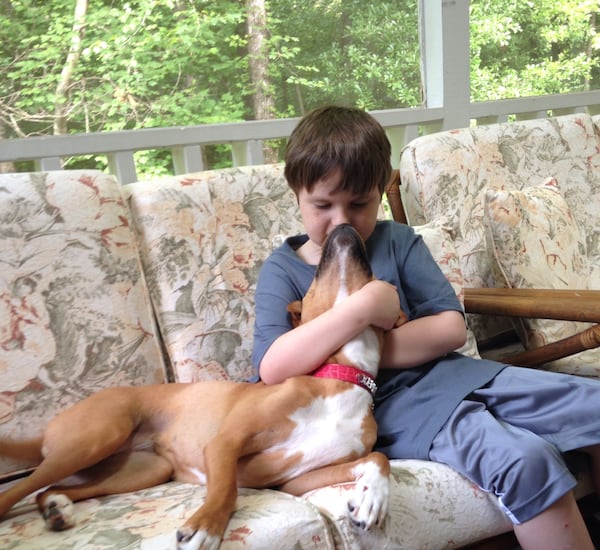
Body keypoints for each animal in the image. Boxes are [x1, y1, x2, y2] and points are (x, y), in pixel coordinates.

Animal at [0, 224, 406, 550]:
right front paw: (206, 528)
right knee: (19, 490)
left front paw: (373, 496)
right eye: (311, 284)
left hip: (143, 471)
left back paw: (58, 509)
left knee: (51, 491)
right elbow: (225, 489)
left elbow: (378, 458)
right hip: (98, 436)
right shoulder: (226, 442)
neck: (341, 377)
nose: (344, 227)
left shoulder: (297, 481)